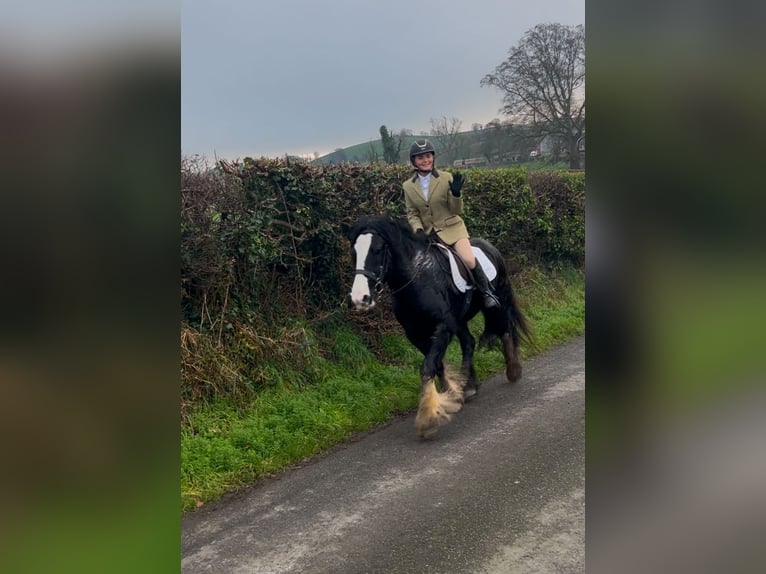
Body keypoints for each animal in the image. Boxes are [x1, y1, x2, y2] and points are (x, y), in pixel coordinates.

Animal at [352, 217, 532, 440]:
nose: (360, 299)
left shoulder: (442, 327)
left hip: (499, 297)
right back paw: (470, 385)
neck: (417, 277)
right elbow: (436, 364)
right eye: (354, 252)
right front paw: (450, 394)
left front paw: (427, 418)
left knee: (504, 328)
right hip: (460, 320)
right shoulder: (415, 333)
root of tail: (489, 246)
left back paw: (513, 370)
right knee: (469, 342)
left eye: (376, 250)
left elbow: (427, 366)